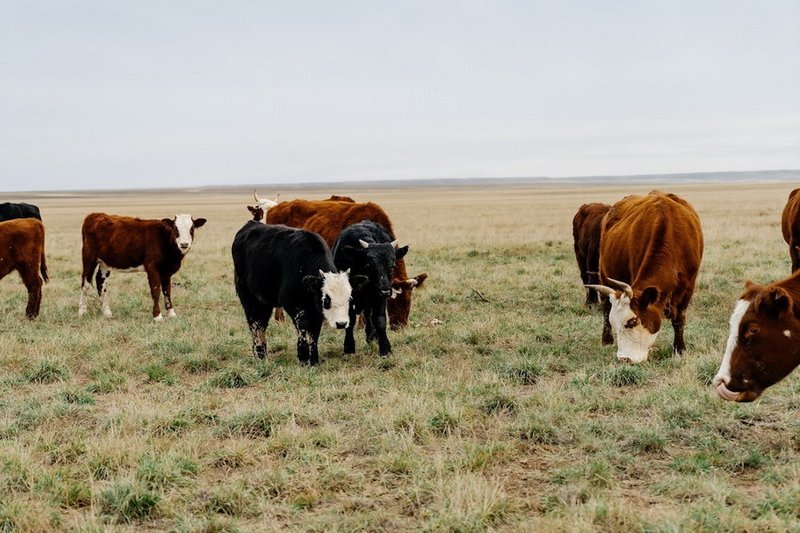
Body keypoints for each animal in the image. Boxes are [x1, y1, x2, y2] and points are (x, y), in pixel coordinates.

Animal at [78, 212, 206, 320]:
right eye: (175, 228)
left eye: (192, 228)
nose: (184, 244)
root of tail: (95, 215)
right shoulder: (152, 267)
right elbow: (156, 290)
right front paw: (157, 316)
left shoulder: (167, 271)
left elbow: (167, 291)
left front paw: (171, 313)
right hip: (89, 258)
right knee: (86, 283)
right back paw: (82, 311)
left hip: (105, 262)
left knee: (100, 282)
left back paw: (106, 312)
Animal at [231, 221, 368, 366]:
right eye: (326, 300)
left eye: (349, 298)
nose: (341, 323)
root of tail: (249, 225)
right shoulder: (294, 305)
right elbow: (304, 329)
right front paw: (303, 358)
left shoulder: (315, 310)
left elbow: (314, 333)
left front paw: (313, 360)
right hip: (248, 298)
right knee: (255, 324)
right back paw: (260, 356)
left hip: (264, 301)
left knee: (261, 323)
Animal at [332, 220, 410, 358]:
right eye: (369, 265)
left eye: (392, 265)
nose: (385, 290)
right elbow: (350, 320)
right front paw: (349, 347)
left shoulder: (378, 296)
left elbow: (380, 320)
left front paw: (385, 348)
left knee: (368, 314)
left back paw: (371, 336)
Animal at [584, 191, 704, 362]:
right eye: (615, 323)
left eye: (632, 322)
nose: (623, 359)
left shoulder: (688, 288)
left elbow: (679, 320)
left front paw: (679, 349)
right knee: (606, 308)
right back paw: (606, 340)